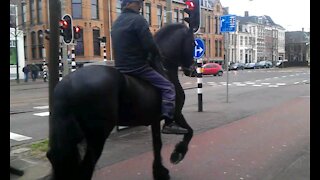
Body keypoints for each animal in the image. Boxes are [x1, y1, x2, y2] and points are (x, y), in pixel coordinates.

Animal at [45, 23, 195, 179]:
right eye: (193, 43)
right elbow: (189, 132)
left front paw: (160, 172)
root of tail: (67, 84)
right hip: (97, 137)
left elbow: (157, 145)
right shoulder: (176, 113)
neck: (164, 69)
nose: (192, 70)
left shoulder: (155, 120)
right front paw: (177, 154)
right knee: (86, 167)